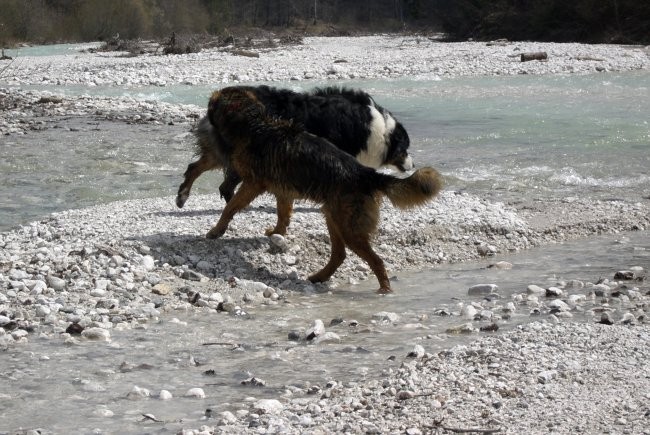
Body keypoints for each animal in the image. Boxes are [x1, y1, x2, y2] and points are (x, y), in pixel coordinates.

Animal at [175, 86, 412, 209]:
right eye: (406, 149)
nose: (412, 165)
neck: (378, 128)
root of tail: (214, 102)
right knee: (223, 184)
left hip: (221, 151)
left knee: (195, 168)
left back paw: (183, 196)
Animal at [205, 87, 442, 292]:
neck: (255, 123)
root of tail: (366, 174)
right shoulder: (283, 187)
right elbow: (283, 213)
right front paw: (277, 233)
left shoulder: (253, 183)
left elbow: (230, 207)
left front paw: (217, 230)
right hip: (334, 217)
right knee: (340, 255)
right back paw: (320, 277)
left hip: (348, 227)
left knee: (376, 260)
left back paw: (384, 290)